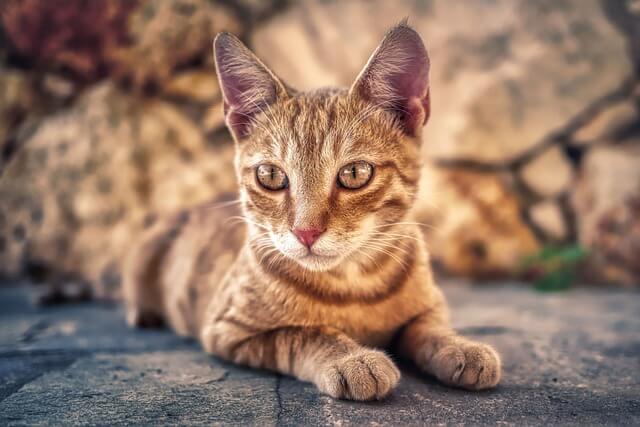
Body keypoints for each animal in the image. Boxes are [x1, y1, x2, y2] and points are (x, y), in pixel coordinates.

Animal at [121, 23, 500, 402]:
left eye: (355, 173)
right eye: (270, 176)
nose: (306, 232)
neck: (354, 285)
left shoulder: (430, 304)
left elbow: (428, 327)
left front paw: (459, 346)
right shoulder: (228, 329)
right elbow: (305, 333)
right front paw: (352, 359)